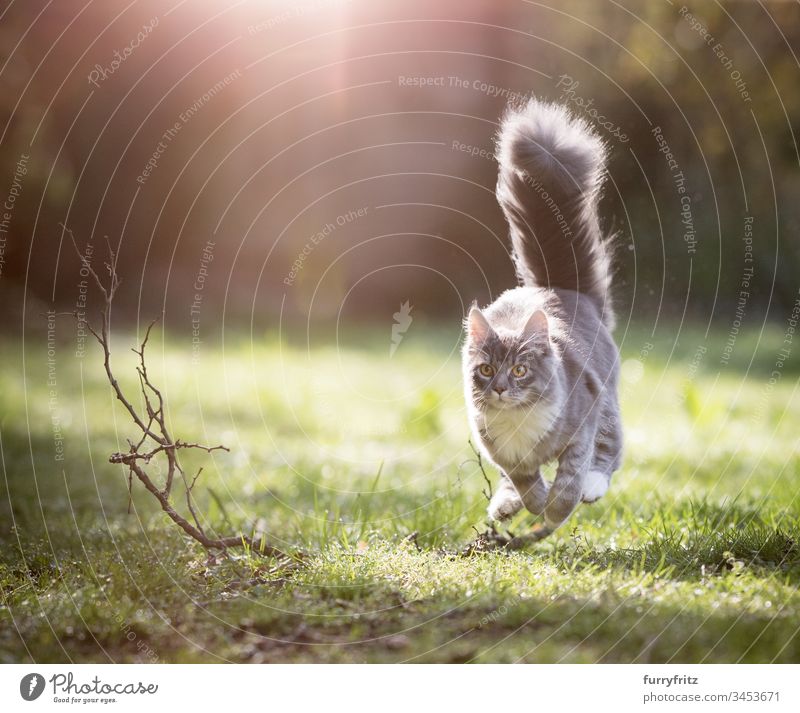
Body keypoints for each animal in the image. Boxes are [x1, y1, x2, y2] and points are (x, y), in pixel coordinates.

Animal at [462, 97, 624, 536]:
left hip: (607, 401)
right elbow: (522, 477)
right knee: (509, 483)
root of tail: (556, 287)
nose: (501, 388)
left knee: (612, 450)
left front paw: (556, 509)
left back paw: (593, 487)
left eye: (519, 370)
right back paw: (504, 505)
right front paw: (533, 501)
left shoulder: (583, 424)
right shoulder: (497, 448)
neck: (519, 419)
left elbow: (570, 477)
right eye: (486, 370)